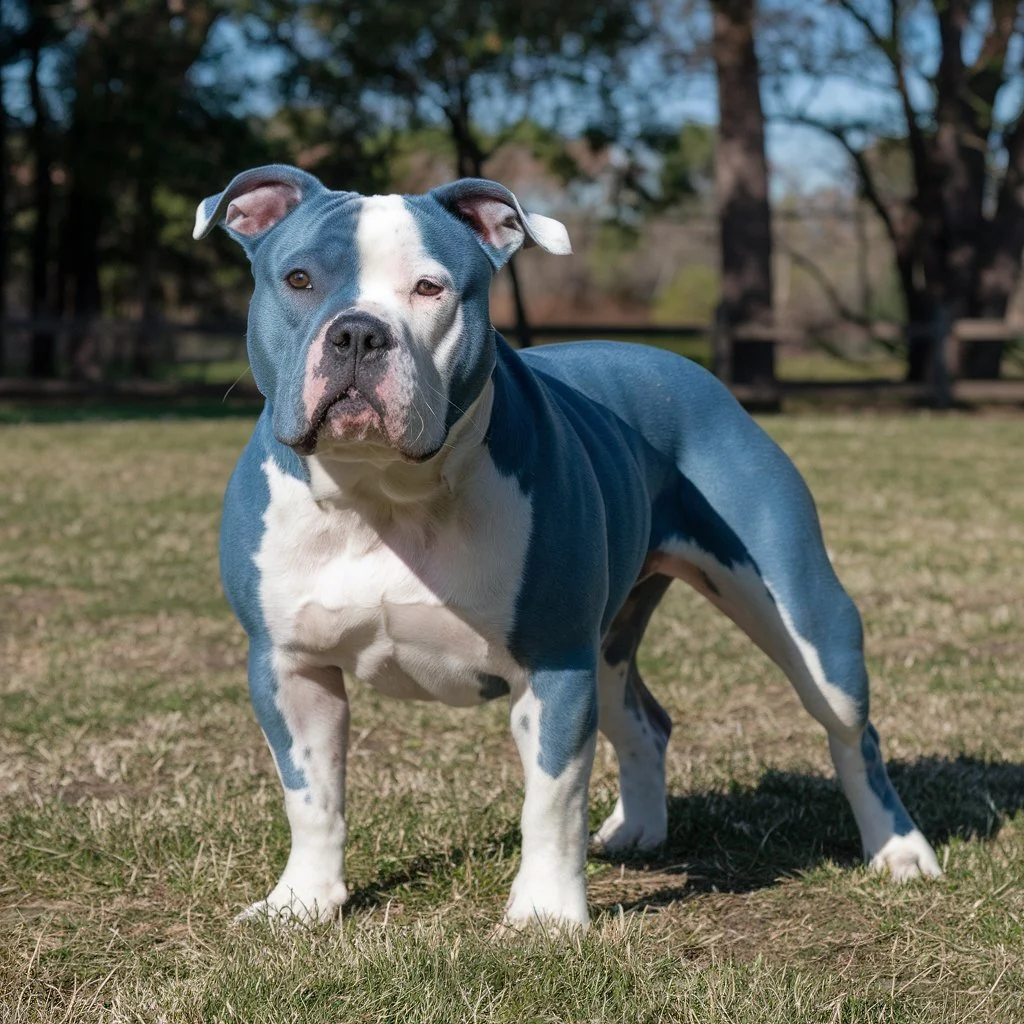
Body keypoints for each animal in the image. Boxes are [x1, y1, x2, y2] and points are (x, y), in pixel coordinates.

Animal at [193, 165, 942, 929]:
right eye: (300, 279)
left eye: (430, 288)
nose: (357, 333)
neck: (383, 496)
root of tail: (684, 369)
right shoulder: (290, 665)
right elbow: (312, 797)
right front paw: (303, 902)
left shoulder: (554, 667)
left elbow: (551, 802)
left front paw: (546, 916)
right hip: (607, 642)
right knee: (645, 720)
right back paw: (637, 830)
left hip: (805, 620)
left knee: (853, 733)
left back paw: (900, 853)